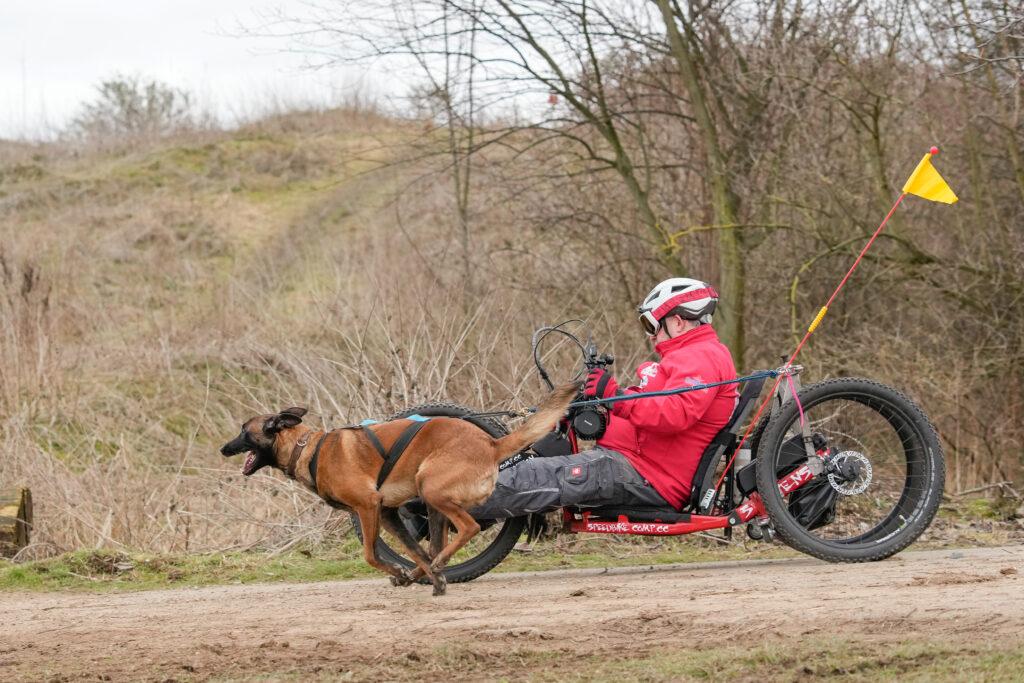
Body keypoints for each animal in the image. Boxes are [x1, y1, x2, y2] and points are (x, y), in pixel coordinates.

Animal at [220, 382, 581, 593]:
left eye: (243, 430)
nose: (223, 449)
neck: (307, 448)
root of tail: (492, 444)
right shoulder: (388, 513)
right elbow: (414, 550)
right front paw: (419, 576)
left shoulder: (368, 507)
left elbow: (370, 554)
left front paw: (400, 570)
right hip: (432, 506)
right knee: (435, 547)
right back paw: (429, 575)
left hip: (431, 487)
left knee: (468, 529)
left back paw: (435, 569)